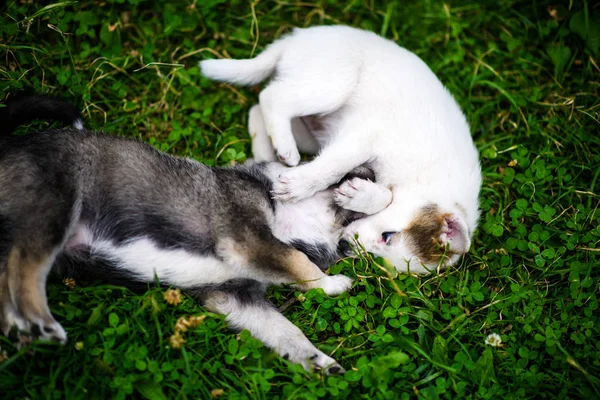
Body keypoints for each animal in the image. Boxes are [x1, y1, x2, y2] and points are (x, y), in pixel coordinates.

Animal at [0, 94, 382, 376]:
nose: (375, 171)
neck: (285, 217)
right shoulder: (248, 240)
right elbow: (297, 260)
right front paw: (332, 284)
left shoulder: (235, 299)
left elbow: (285, 331)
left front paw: (318, 360)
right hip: (52, 212)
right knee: (24, 270)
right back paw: (41, 323)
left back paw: (19, 330)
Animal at [202, 25, 482, 276]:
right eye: (388, 236)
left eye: (379, 262)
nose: (344, 246)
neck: (426, 181)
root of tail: (296, 37)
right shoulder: (365, 134)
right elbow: (337, 168)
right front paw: (299, 187)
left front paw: (358, 195)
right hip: (332, 84)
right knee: (272, 96)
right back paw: (285, 149)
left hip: (311, 130)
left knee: (258, 109)